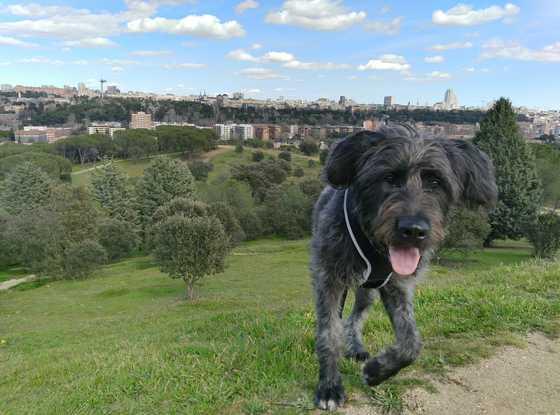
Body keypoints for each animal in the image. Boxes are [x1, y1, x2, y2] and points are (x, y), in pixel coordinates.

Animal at [310, 125, 498, 412]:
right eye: (388, 178)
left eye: (436, 182)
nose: (413, 231)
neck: (375, 247)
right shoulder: (329, 279)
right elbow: (329, 334)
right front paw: (329, 386)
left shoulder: (398, 285)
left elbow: (411, 342)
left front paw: (377, 371)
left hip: (368, 292)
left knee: (355, 317)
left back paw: (356, 346)